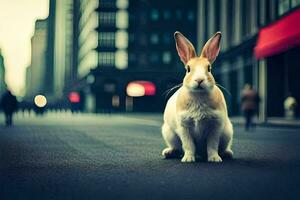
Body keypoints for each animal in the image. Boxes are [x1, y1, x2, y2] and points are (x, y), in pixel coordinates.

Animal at [162, 31, 234, 162]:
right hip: (170, 135)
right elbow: (188, 145)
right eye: (188, 69)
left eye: (209, 68)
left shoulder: (215, 126)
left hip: (227, 133)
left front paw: (214, 159)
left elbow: (212, 145)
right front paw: (188, 159)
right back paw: (168, 152)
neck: (198, 96)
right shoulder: (184, 127)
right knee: (178, 149)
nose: (199, 80)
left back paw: (227, 154)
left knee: (222, 148)